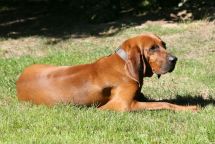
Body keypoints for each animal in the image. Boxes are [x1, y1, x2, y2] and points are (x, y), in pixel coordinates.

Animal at [16, 33, 197, 111]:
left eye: (163, 45)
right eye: (152, 48)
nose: (174, 59)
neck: (124, 64)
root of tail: (18, 82)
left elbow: (163, 100)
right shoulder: (123, 105)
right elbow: (164, 103)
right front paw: (189, 108)